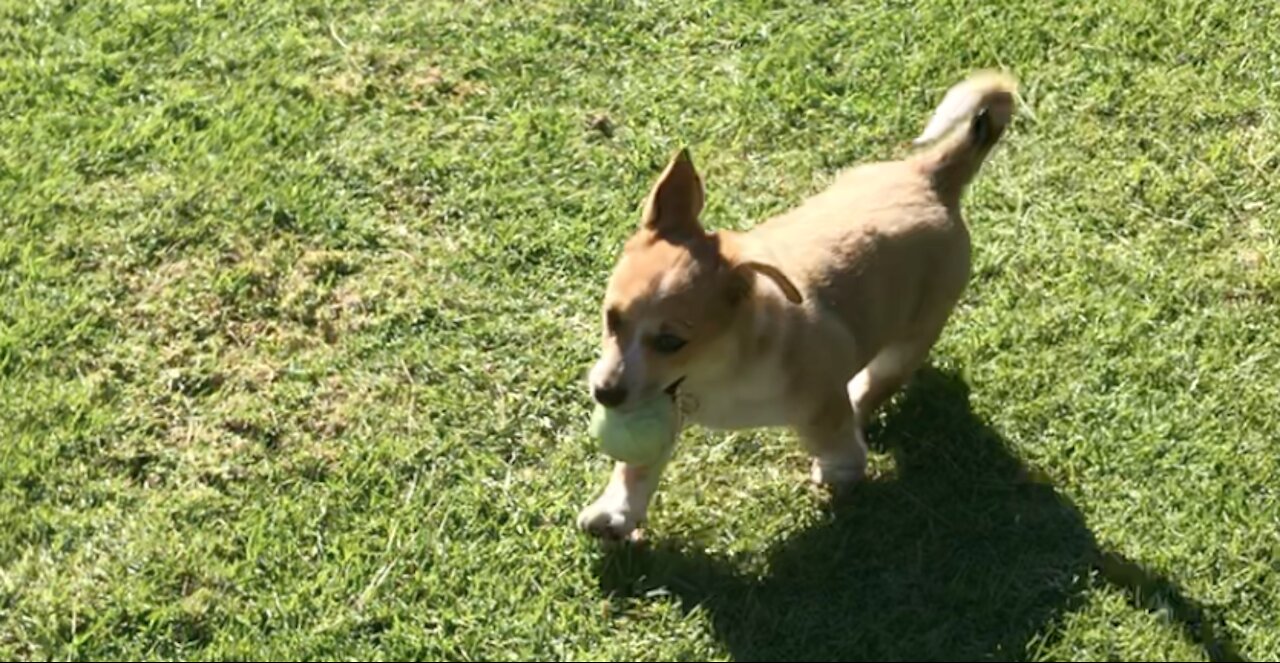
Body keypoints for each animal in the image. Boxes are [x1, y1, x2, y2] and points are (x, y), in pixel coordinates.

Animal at [581, 72, 1018, 540]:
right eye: (611, 319)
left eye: (671, 341)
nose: (605, 393)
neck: (722, 371)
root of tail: (932, 176)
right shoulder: (664, 399)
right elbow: (638, 465)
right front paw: (616, 512)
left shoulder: (819, 400)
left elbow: (838, 439)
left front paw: (840, 471)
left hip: (918, 327)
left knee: (880, 379)